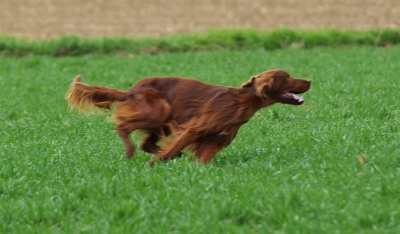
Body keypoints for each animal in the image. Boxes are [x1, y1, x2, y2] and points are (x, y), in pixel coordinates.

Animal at [66, 69, 310, 165]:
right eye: (287, 77)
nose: (310, 80)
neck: (241, 101)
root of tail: (131, 90)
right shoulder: (195, 128)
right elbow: (174, 146)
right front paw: (153, 165)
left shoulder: (215, 140)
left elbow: (201, 156)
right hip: (159, 111)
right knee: (123, 127)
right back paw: (130, 151)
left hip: (161, 121)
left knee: (147, 143)